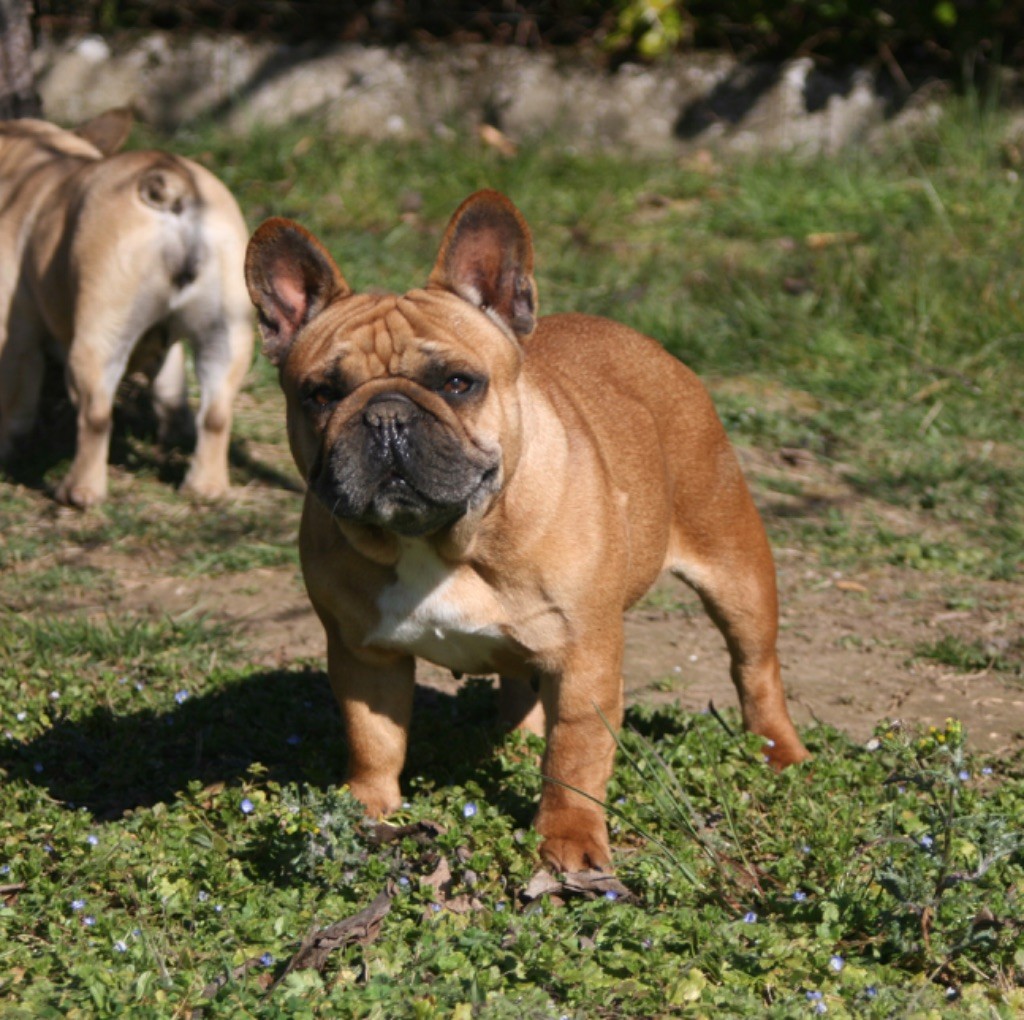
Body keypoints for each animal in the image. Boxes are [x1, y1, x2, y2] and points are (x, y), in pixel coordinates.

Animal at [0, 108, 251, 505]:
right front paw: (174, 429)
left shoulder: (15, 337)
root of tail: (171, 185)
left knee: (96, 414)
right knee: (216, 412)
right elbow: (169, 384)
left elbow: (14, 406)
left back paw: (80, 490)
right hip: (226, 331)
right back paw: (205, 486)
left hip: (100, 334)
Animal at [243, 189, 811, 868]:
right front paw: (367, 809)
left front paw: (569, 839)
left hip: (734, 565)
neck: (439, 539)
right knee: (517, 685)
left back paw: (781, 754)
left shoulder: (585, 658)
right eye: (322, 394)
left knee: (756, 666)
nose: (385, 416)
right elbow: (373, 738)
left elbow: (575, 754)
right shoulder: (364, 655)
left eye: (457, 383)